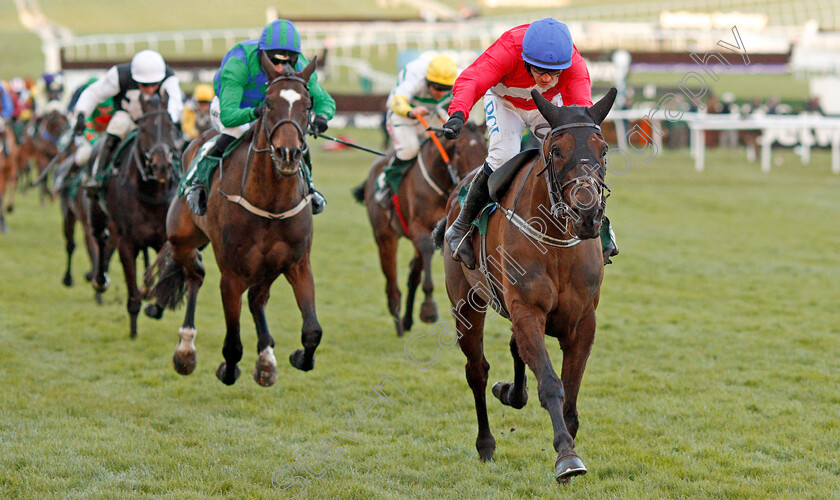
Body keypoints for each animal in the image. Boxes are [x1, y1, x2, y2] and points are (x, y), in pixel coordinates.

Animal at [89, 92, 180, 338]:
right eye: (145, 128)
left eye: (171, 126)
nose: (162, 166)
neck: (150, 192)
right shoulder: (128, 242)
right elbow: (131, 290)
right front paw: (133, 331)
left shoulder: (163, 238)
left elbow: (165, 269)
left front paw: (156, 305)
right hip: (99, 214)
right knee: (101, 239)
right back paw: (100, 280)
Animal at [146, 57, 324, 386]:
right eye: (268, 103)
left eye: (308, 105)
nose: (288, 153)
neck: (271, 203)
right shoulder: (231, 274)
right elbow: (232, 343)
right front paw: (227, 370)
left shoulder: (297, 262)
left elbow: (312, 331)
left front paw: (298, 357)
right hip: (182, 240)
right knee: (195, 274)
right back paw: (186, 349)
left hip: (268, 265)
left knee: (256, 298)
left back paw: (266, 358)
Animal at [436, 88, 620, 482]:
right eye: (557, 150)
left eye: (603, 149)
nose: (587, 213)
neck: (557, 243)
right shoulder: (527, 311)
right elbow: (551, 384)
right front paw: (567, 456)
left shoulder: (583, 321)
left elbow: (571, 393)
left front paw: (568, 440)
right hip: (466, 305)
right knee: (477, 371)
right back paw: (485, 443)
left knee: (513, 352)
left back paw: (510, 392)